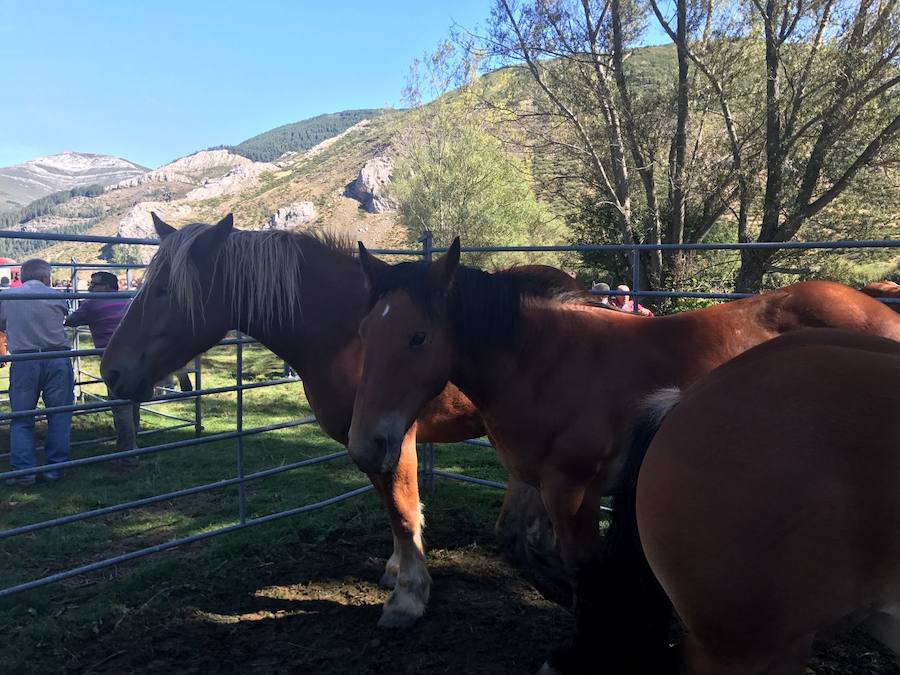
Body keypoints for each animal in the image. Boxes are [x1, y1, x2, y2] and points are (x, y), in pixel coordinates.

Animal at [98, 213, 576, 628]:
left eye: (164, 289)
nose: (111, 372)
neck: (346, 335)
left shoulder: (395, 440)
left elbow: (403, 510)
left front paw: (408, 597)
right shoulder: (364, 441)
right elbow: (390, 507)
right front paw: (396, 571)